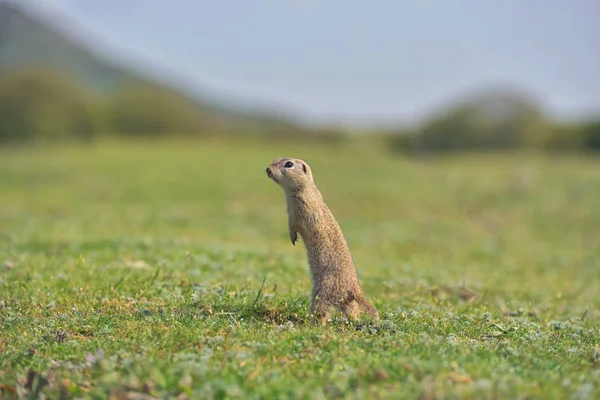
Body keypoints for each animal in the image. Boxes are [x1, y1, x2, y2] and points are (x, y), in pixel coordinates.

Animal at [264, 157, 378, 324]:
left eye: (289, 164)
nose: (268, 169)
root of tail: (354, 288)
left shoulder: (299, 211)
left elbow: (294, 225)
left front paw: (293, 237)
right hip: (345, 301)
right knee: (352, 310)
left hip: (323, 292)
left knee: (322, 312)